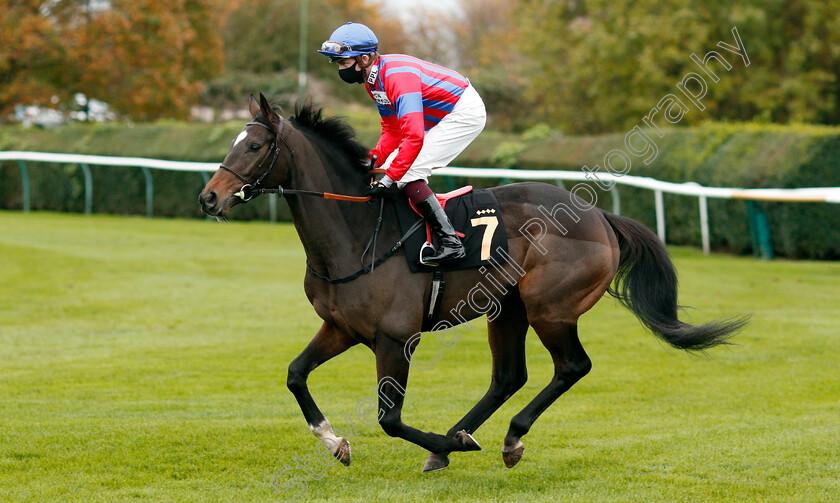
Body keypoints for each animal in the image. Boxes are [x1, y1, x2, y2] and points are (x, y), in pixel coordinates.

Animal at [199, 93, 748, 472]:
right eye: (233, 143)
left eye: (253, 145)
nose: (209, 197)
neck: (356, 234)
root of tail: (601, 217)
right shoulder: (341, 328)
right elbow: (296, 374)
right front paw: (336, 442)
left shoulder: (396, 338)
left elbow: (390, 420)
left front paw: (449, 443)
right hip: (508, 309)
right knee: (508, 376)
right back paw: (463, 438)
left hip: (550, 307)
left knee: (572, 366)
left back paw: (505, 437)